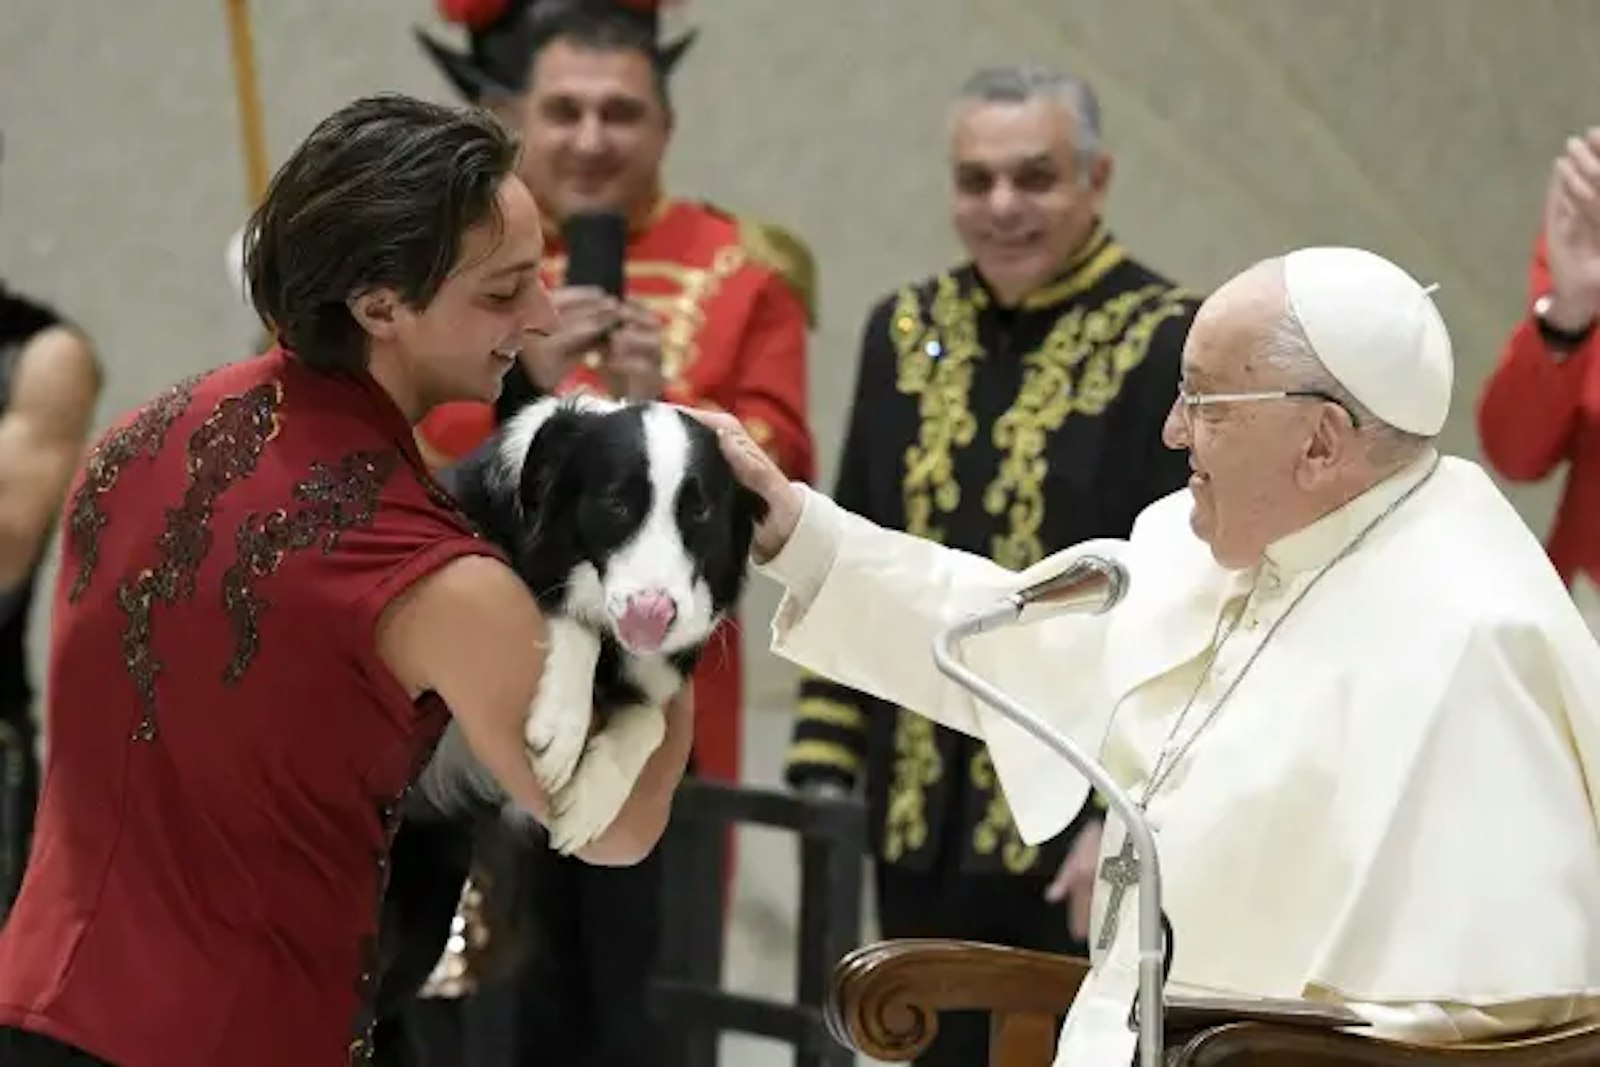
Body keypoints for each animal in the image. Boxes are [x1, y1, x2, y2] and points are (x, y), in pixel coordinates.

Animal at [371, 395, 764, 1062]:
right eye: (615, 503)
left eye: (700, 510)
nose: (653, 613)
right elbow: (566, 618)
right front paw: (560, 726)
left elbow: (651, 716)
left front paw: (593, 797)